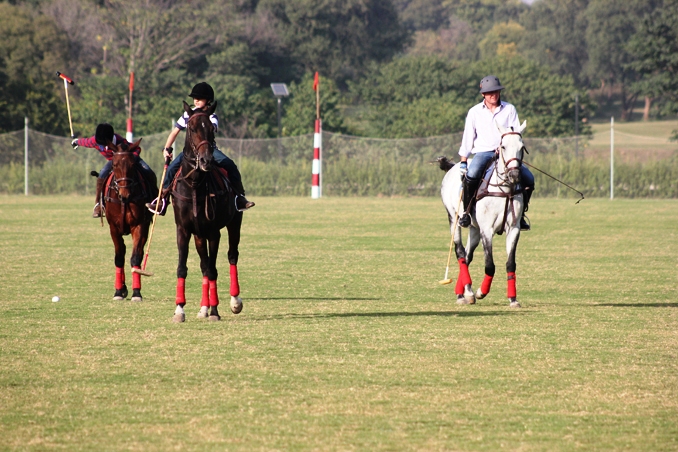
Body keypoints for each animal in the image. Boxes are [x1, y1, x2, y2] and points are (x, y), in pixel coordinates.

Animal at [103, 138, 159, 300]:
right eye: (114, 164)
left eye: (132, 165)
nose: (125, 195)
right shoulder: (113, 228)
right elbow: (119, 257)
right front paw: (118, 291)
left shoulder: (139, 225)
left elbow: (135, 258)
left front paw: (136, 293)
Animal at [171, 101, 246, 324]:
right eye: (191, 128)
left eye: (212, 129)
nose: (205, 161)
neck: (195, 185)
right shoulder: (183, 230)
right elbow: (184, 267)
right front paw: (179, 310)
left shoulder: (214, 232)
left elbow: (213, 270)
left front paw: (215, 311)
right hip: (198, 235)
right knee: (204, 265)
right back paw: (203, 307)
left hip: (234, 223)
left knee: (232, 256)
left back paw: (234, 301)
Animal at [440, 120, 532, 308]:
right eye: (503, 146)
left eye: (522, 147)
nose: (514, 174)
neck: (505, 189)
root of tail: (453, 167)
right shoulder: (487, 230)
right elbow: (490, 265)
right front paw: (481, 292)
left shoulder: (513, 229)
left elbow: (510, 263)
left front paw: (513, 299)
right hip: (454, 219)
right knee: (460, 252)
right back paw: (465, 293)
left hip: (474, 228)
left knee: (468, 255)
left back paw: (463, 292)